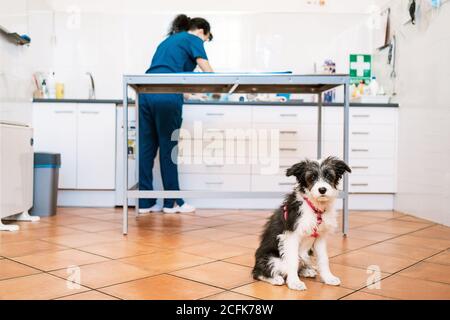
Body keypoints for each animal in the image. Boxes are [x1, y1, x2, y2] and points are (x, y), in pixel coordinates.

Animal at [253, 156, 352, 292]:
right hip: (271, 259)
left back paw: (307, 271)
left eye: (329, 175)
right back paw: (275, 279)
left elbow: (324, 259)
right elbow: (293, 261)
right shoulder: (291, 236)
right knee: (258, 273)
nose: (322, 190)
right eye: (311, 177)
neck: (315, 209)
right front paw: (294, 283)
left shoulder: (320, 237)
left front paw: (328, 278)